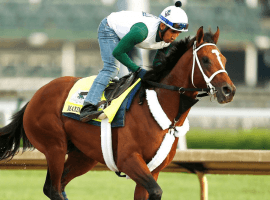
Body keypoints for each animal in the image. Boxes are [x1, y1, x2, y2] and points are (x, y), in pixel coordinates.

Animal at [0, 27, 234, 200]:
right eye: (205, 59)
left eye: (224, 59)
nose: (228, 91)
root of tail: (36, 95)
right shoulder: (129, 160)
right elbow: (156, 191)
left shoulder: (154, 168)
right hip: (54, 147)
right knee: (54, 189)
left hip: (83, 155)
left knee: (58, 187)